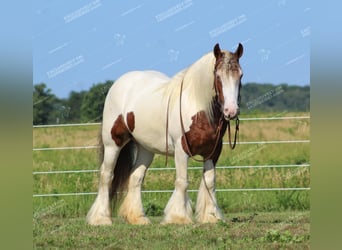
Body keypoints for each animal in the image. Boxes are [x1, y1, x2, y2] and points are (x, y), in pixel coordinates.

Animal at [87, 42, 244, 225]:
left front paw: (210, 216)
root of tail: (119, 83)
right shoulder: (182, 150)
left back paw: (138, 218)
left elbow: (210, 182)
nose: (231, 111)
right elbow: (182, 181)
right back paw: (101, 218)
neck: (198, 107)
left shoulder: (213, 151)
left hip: (146, 149)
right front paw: (178, 217)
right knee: (106, 175)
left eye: (240, 75)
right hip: (113, 144)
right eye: (218, 76)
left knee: (135, 177)